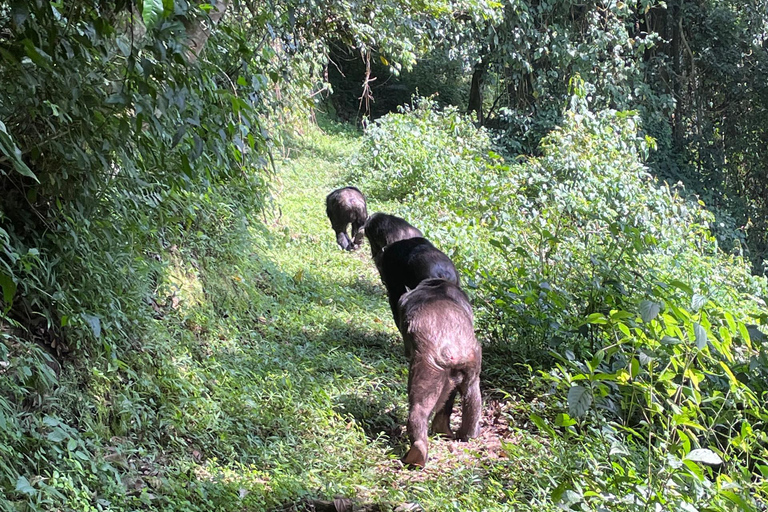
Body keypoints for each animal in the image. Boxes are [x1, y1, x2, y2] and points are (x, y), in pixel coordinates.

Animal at [397, 278, 482, 467]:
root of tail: (453, 351)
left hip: (428, 368)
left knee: (419, 407)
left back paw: (417, 450)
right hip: (472, 362)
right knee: (472, 394)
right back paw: (466, 434)